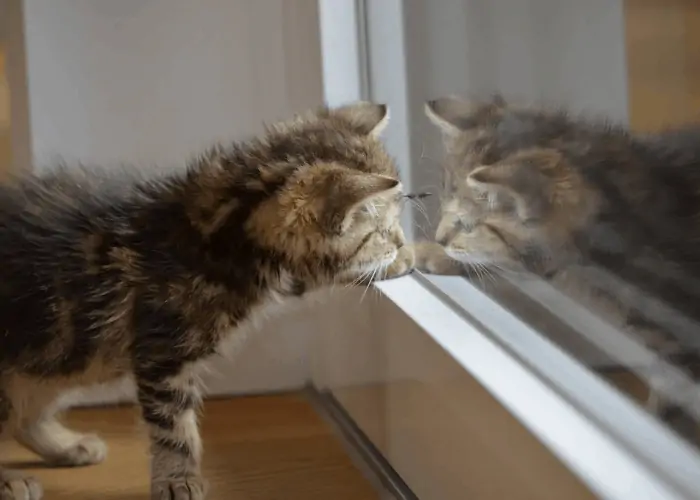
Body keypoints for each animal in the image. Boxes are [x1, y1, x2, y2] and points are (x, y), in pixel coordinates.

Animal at [0, 101, 412, 500]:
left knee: (25, 414)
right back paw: (10, 480)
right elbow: (174, 425)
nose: (400, 241)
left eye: (394, 225)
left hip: (58, 358)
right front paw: (177, 480)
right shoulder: (162, 354)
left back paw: (67, 446)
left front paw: (410, 258)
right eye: (380, 231)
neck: (221, 228)